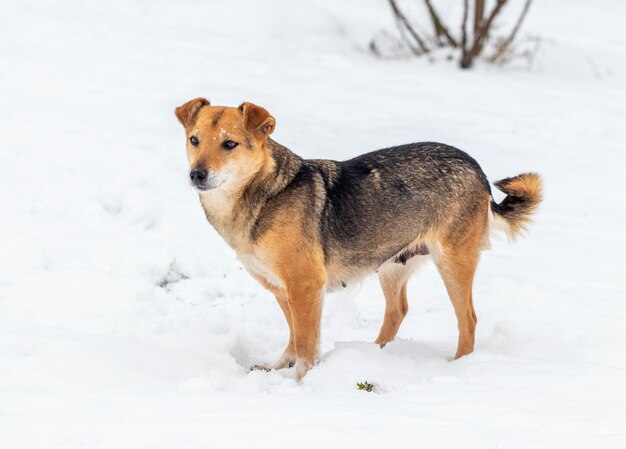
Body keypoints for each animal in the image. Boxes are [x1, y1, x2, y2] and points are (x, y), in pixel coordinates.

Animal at [173, 99, 540, 382]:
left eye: (229, 144)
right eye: (194, 140)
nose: (196, 174)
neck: (262, 194)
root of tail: (477, 170)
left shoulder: (306, 286)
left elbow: (305, 343)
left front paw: (300, 382)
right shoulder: (282, 289)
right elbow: (293, 336)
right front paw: (279, 369)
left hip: (453, 263)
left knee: (468, 320)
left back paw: (459, 367)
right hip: (393, 266)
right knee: (397, 311)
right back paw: (371, 355)